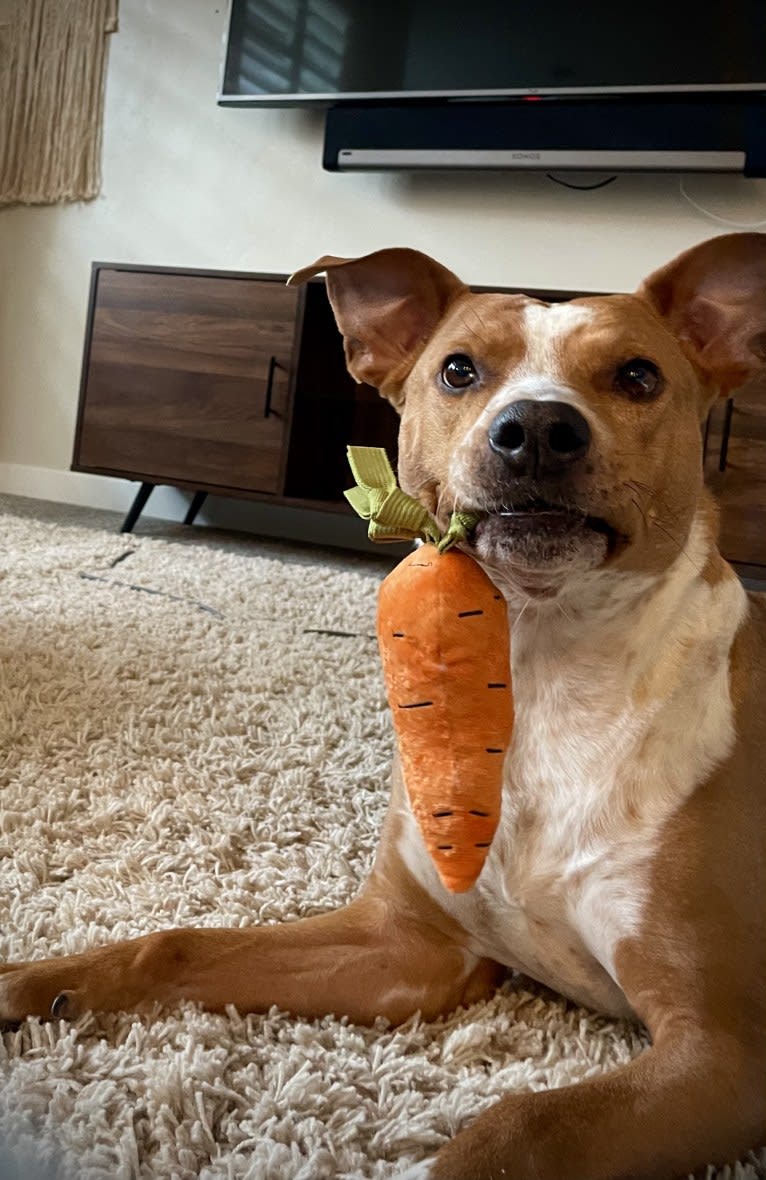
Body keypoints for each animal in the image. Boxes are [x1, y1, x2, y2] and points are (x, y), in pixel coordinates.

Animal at [1, 232, 764, 1180]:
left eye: (638, 376)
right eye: (459, 369)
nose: (536, 430)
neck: (543, 669)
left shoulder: (723, 1048)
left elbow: (519, 1129)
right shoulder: (407, 946)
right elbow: (177, 942)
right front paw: (29, 980)